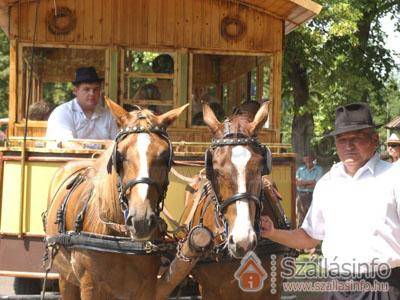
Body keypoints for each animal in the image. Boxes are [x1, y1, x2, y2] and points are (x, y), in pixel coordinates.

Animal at [44, 97, 188, 298]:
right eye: (119, 155)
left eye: (165, 156)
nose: (141, 220)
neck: (118, 236)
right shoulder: (90, 286)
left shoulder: (147, 286)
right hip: (66, 278)